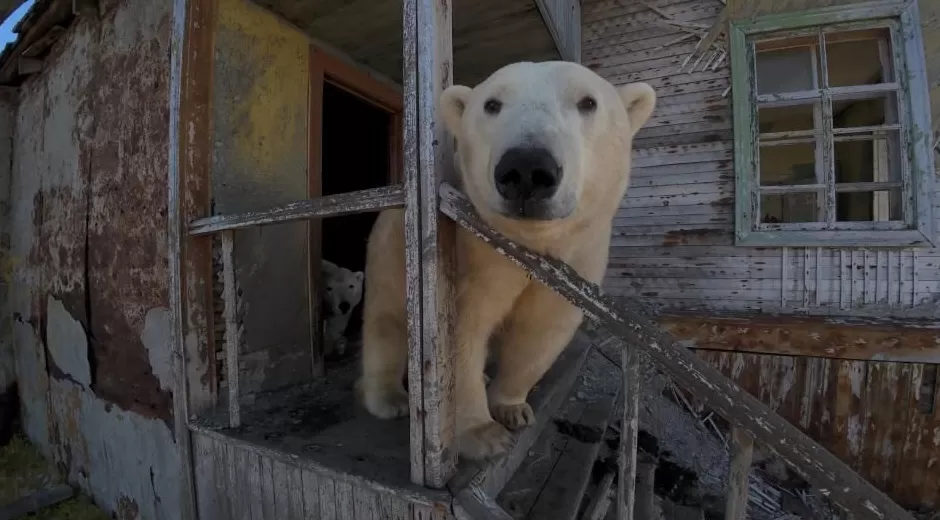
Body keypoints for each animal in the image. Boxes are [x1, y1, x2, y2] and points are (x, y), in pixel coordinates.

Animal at [358, 61, 656, 460]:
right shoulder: (471, 256)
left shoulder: (578, 258)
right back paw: (390, 399)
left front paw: (512, 409)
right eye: (492, 104)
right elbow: (460, 332)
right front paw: (484, 435)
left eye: (588, 102)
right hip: (389, 250)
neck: (528, 243)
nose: (527, 168)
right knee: (385, 320)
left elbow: (540, 330)